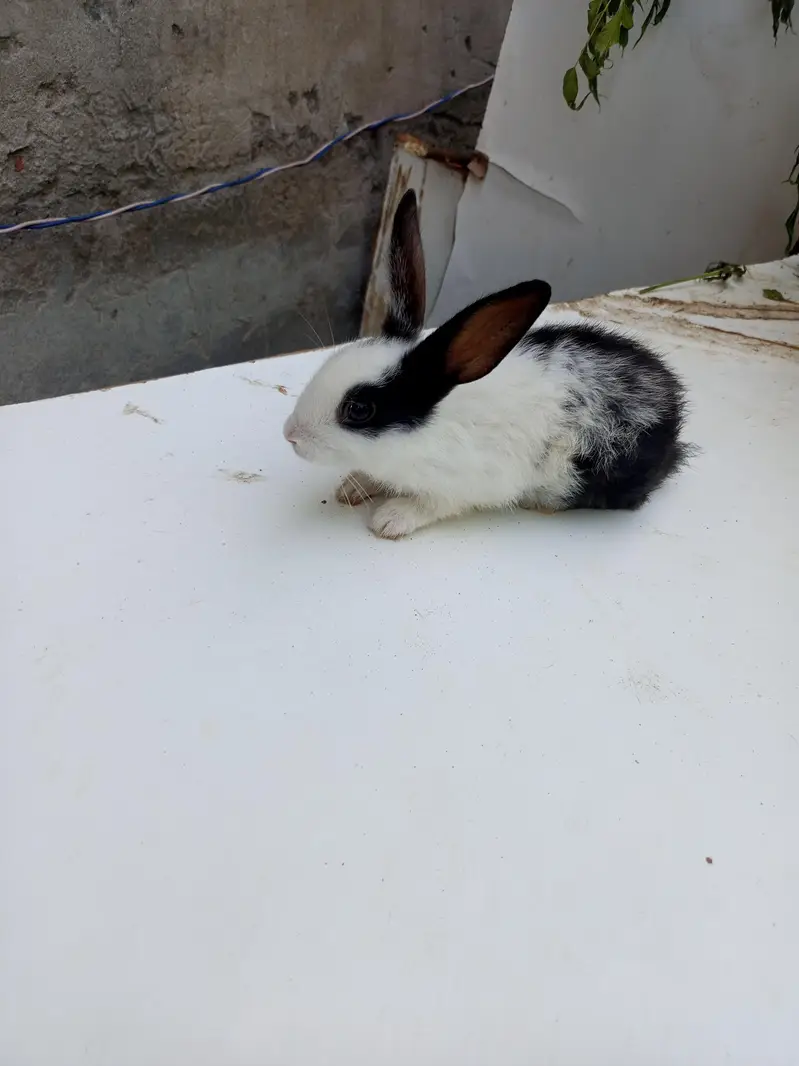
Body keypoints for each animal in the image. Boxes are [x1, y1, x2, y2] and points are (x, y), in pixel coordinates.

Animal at [283, 189, 693, 539]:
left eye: (359, 409)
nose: (291, 435)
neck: (421, 433)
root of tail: (674, 407)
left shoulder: (465, 484)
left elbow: (432, 504)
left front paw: (390, 519)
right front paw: (350, 488)